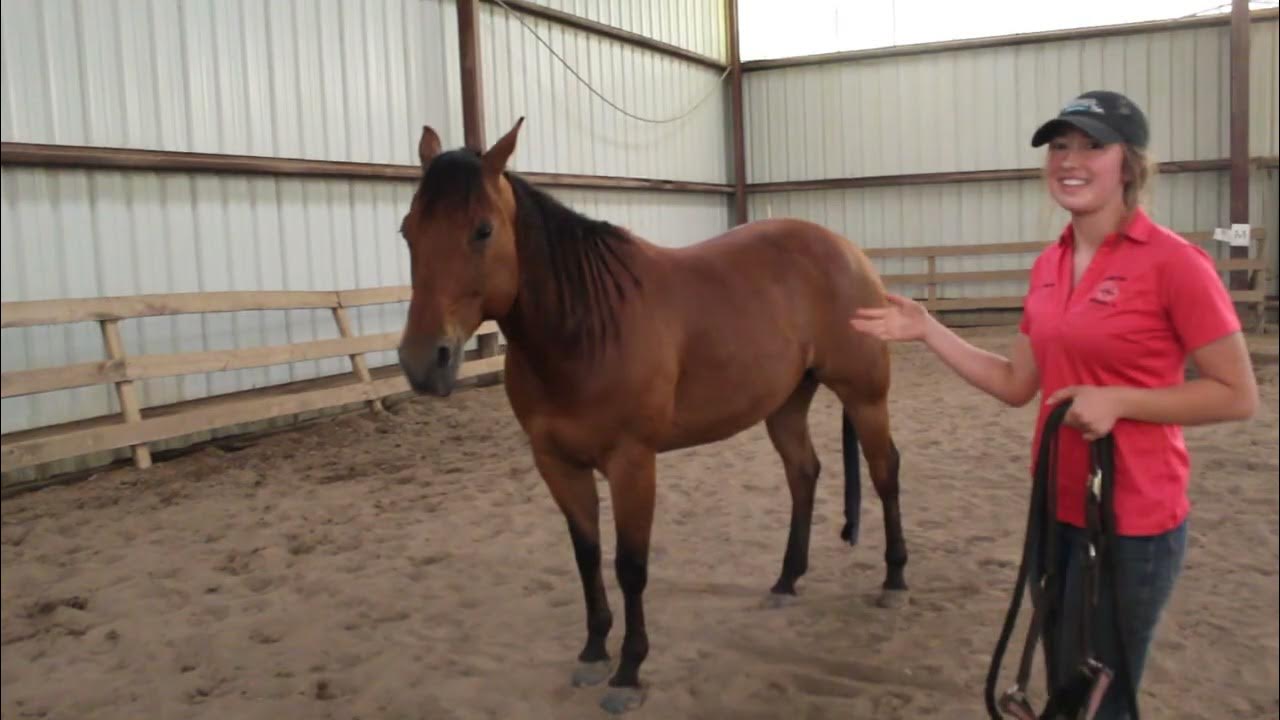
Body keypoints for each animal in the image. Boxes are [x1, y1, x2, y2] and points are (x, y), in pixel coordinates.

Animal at [396, 118, 909, 714]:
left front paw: (628, 672)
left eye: (481, 230)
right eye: (408, 231)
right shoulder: (556, 463)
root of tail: (848, 250)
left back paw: (894, 580)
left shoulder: (632, 463)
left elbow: (630, 565)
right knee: (804, 474)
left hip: (865, 396)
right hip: (785, 404)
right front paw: (594, 652)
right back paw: (785, 581)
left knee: (884, 473)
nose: (422, 361)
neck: (586, 327)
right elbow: (587, 554)